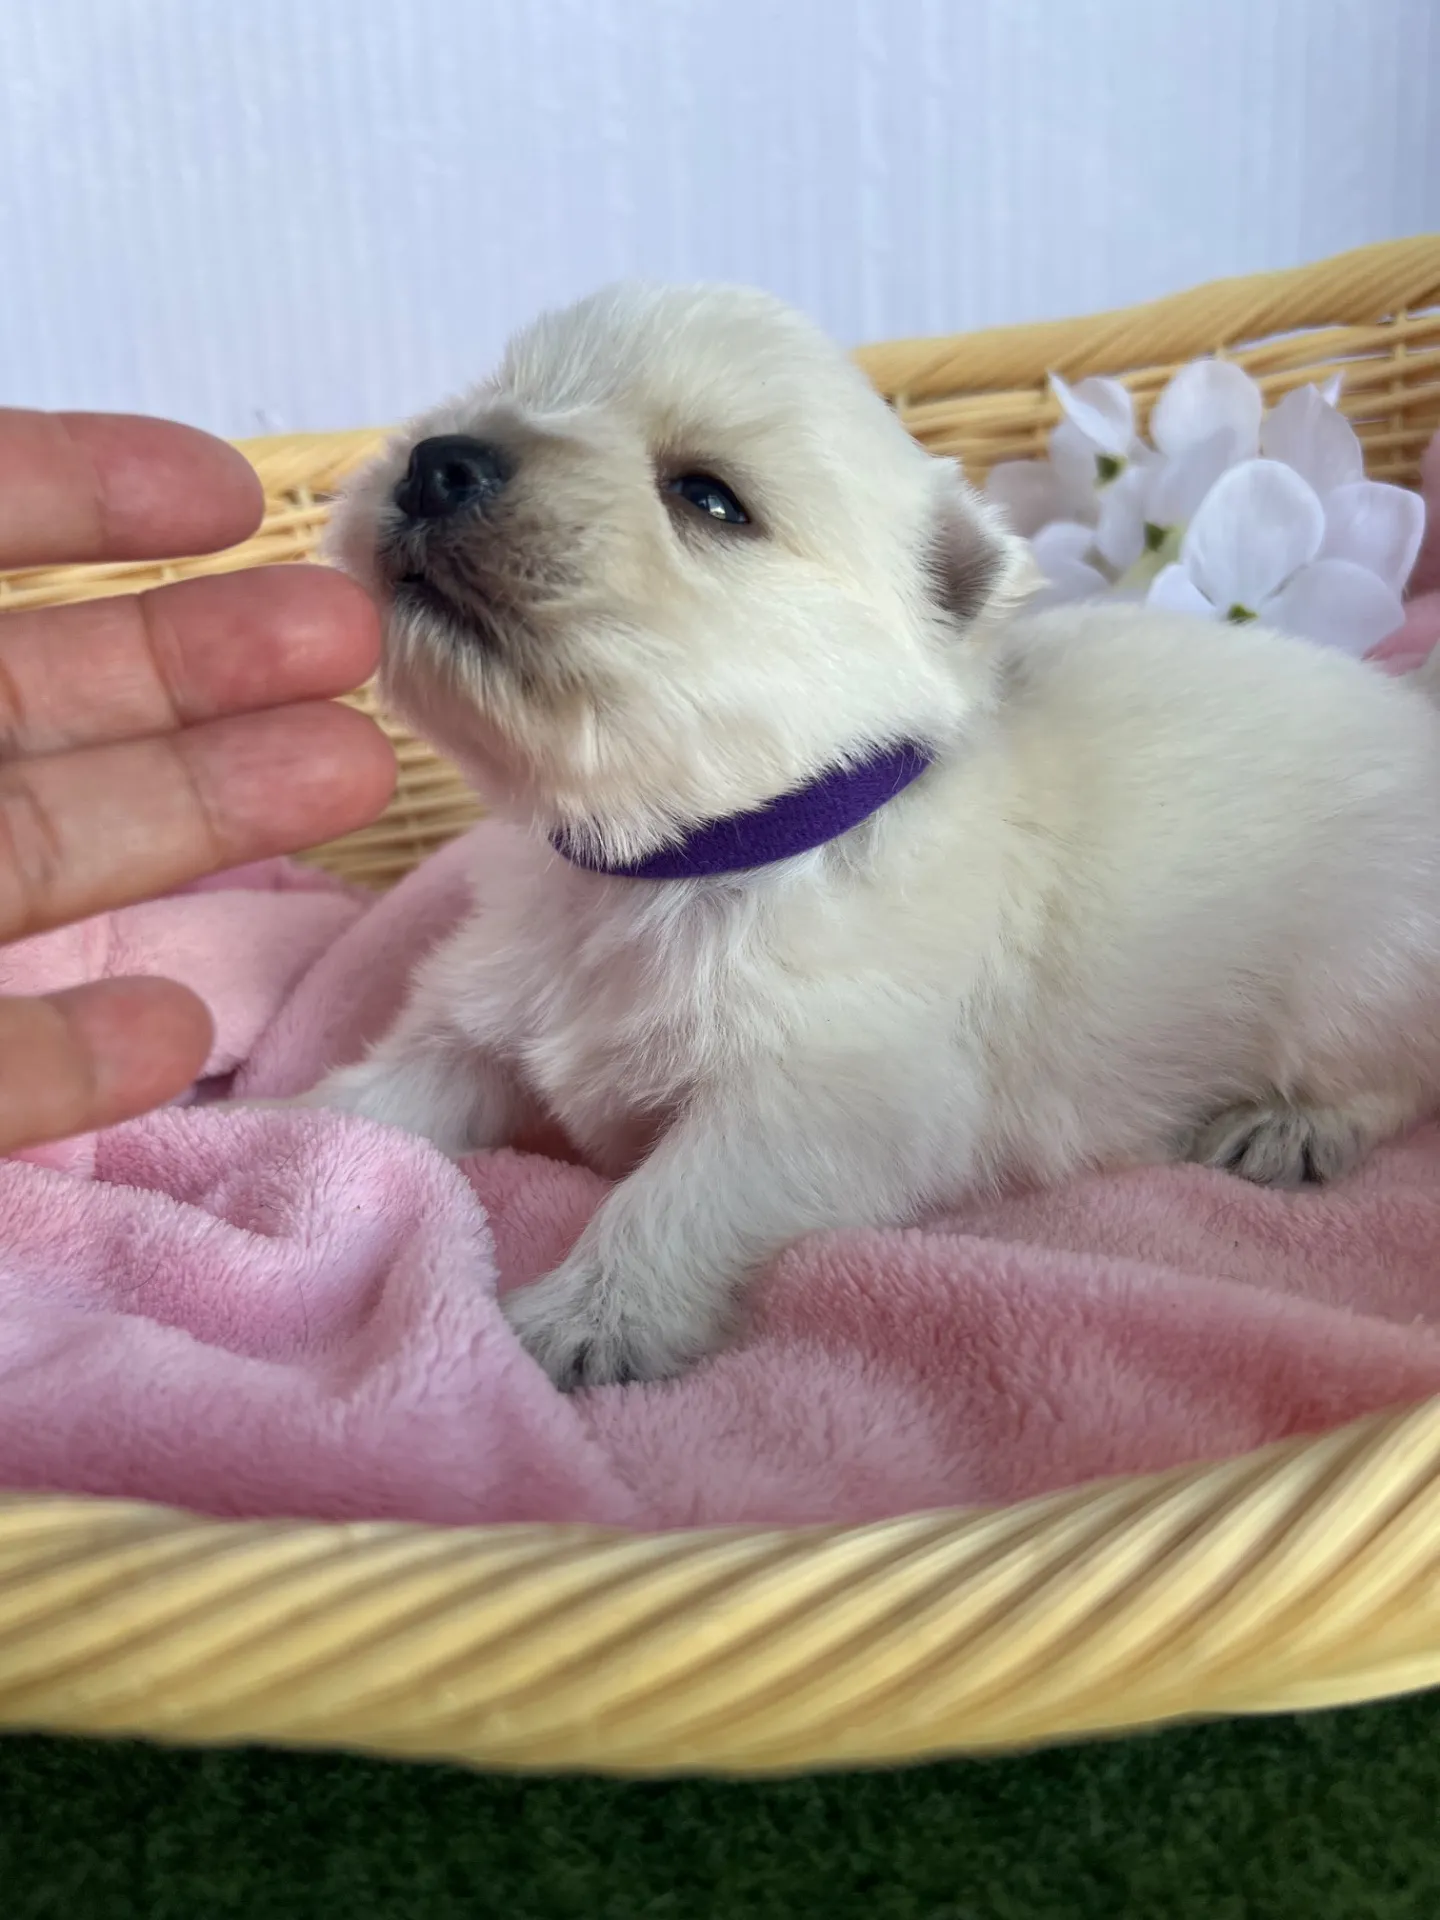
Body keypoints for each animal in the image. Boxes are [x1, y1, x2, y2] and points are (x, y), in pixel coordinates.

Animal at [306, 280, 1440, 1389]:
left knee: (1397, 1074)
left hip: (1358, 969)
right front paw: (278, 1126)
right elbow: (383, 1094)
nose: (438, 460)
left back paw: (1287, 1126)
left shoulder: (830, 1094)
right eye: (506, 392)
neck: (679, 859)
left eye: (707, 496)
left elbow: (679, 1192)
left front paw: (585, 1320)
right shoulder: (479, 1010)